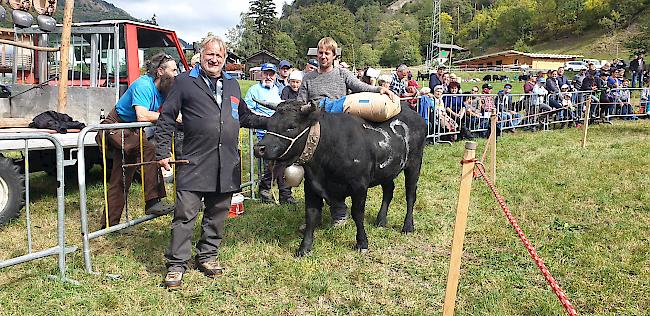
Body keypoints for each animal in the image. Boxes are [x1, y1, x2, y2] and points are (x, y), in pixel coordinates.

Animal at [252, 101, 426, 256]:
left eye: (291, 126)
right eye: (268, 125)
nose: (258, 148)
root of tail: (413, 112)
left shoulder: (359, 186)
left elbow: (357, 214)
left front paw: (362, 243)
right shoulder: (311, 186)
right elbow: (311, 215)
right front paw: (304, 248)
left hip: (414, 164)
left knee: (410, 195)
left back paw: (408, 227)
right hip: (386, 171)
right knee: (389, 191)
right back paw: (381, 220)